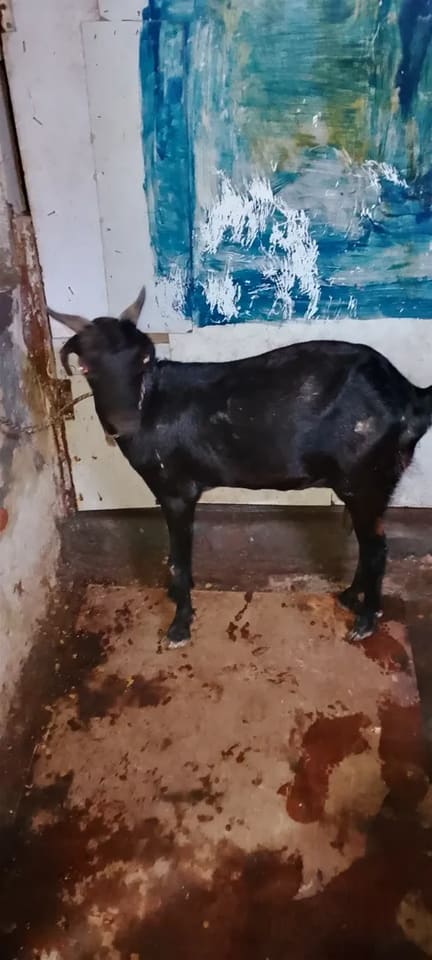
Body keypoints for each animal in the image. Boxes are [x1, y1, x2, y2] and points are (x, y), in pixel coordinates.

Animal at [49, 288, 432, 648]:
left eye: (143, 358)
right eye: (86, 366)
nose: (125, 422)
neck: (151, 402)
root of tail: (409, 396)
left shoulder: (176, 490)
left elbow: (178, 558)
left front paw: (179, 625)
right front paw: (177, 596)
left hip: (366, 479)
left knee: (377, 549)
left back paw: (366, 621)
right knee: (369, 545)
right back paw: (351, 597)